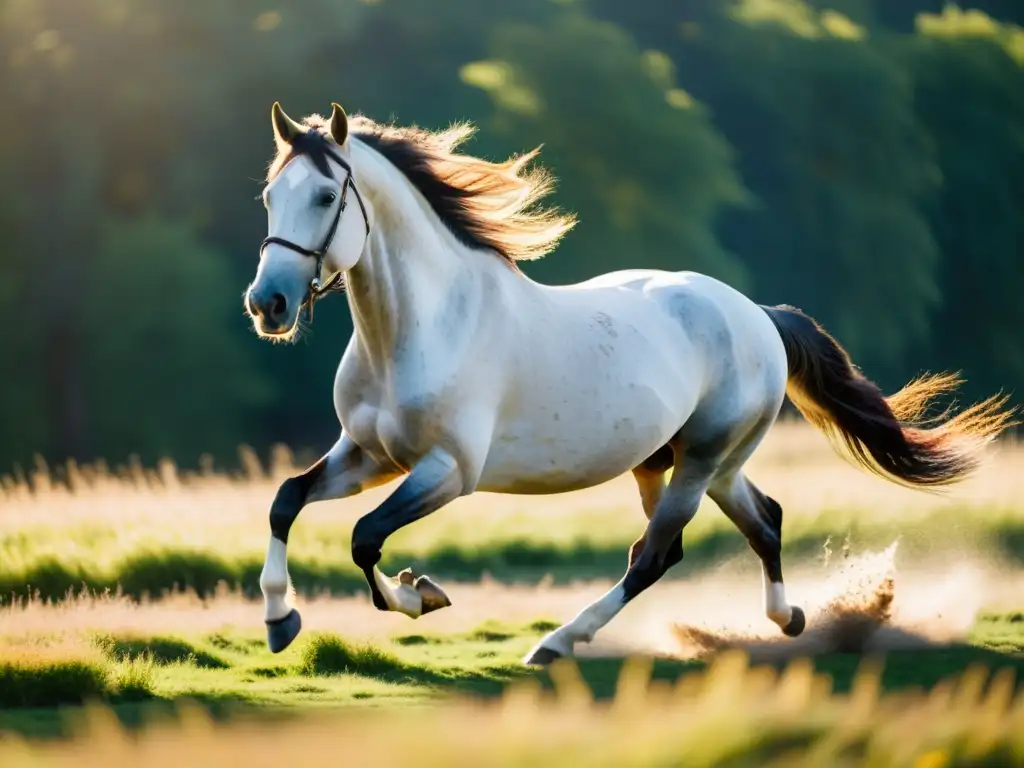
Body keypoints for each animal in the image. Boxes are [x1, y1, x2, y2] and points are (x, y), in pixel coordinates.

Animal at [243, 102, 1011, 667]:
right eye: (270, 195)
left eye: (325, 195)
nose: (267, 305)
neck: (421, 327)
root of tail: (757, 315)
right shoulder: (369, 455)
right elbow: (286, 502)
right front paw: (282, 620)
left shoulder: (447, 472)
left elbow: (365, 539)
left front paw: (420, 595)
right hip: (687, 462)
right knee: (761, 521)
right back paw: (790, 619)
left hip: (701, 460)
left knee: (654, 555)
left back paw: (556, 644)